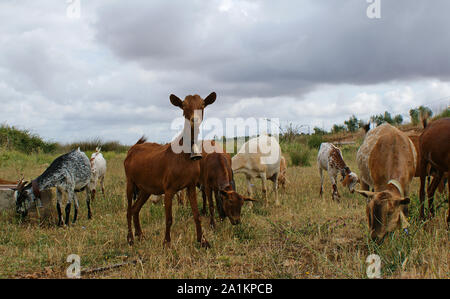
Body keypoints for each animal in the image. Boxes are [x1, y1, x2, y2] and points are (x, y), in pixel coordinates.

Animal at [122, 92, 215, 247]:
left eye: (202, 105)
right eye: (183, 105)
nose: (194, 120)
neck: (184, 155)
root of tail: (132, 149)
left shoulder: (190, 185)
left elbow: (196, 215)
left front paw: (203, 241)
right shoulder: (169, 188)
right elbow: (169, 218)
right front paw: (166, 243)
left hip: (146, 188)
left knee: (135, 209)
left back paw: (141, 235)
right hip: (130, 181)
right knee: (129, 210)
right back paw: (130, 239)